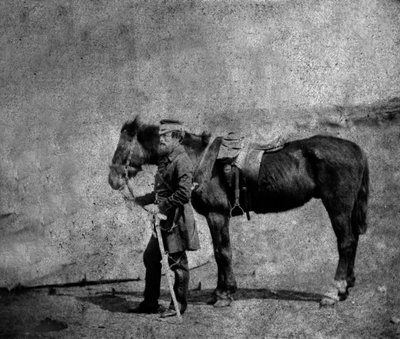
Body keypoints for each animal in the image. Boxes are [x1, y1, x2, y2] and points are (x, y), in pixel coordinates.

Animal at [108, 117, 368, 308]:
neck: (200, 160)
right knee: (353, 240)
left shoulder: (217, 215)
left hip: (337, 206)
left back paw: (334, 291)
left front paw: (224, 294)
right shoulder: (215, 217)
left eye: (123, 146)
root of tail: (356, 149)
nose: (113, 179)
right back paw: (346, 287)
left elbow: (223, 252)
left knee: (346, 242)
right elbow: (218, 252)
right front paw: (220, 292)